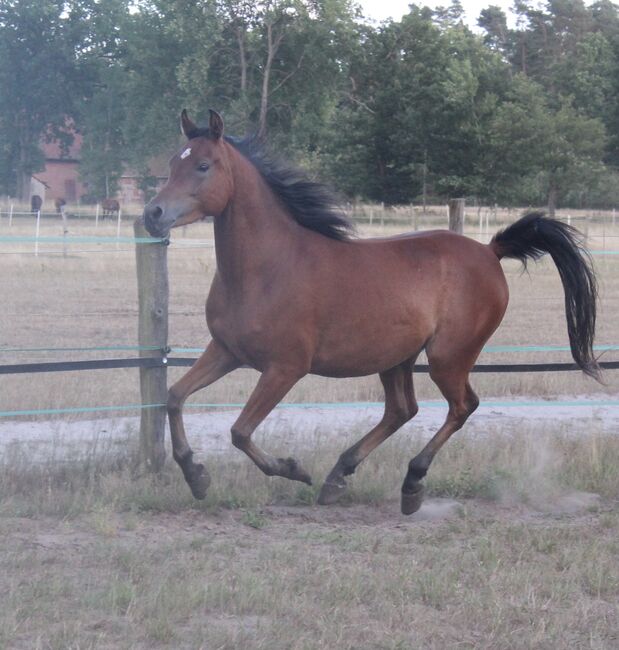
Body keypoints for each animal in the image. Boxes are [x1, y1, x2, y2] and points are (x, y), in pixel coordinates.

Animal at [143, 112, 600, 516]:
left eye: (203, 165)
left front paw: (293, 469)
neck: (266, 268)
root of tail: (491, 251)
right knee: (402, 410)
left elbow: (239, 431)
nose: (153, 214)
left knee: (462, 406)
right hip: (397, 357)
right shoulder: (226, 351)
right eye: (172, 163)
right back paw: (339, 476)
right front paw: (196, 476)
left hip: (448, 357)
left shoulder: (285, 368)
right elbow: (175, 397)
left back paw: (410, 484)